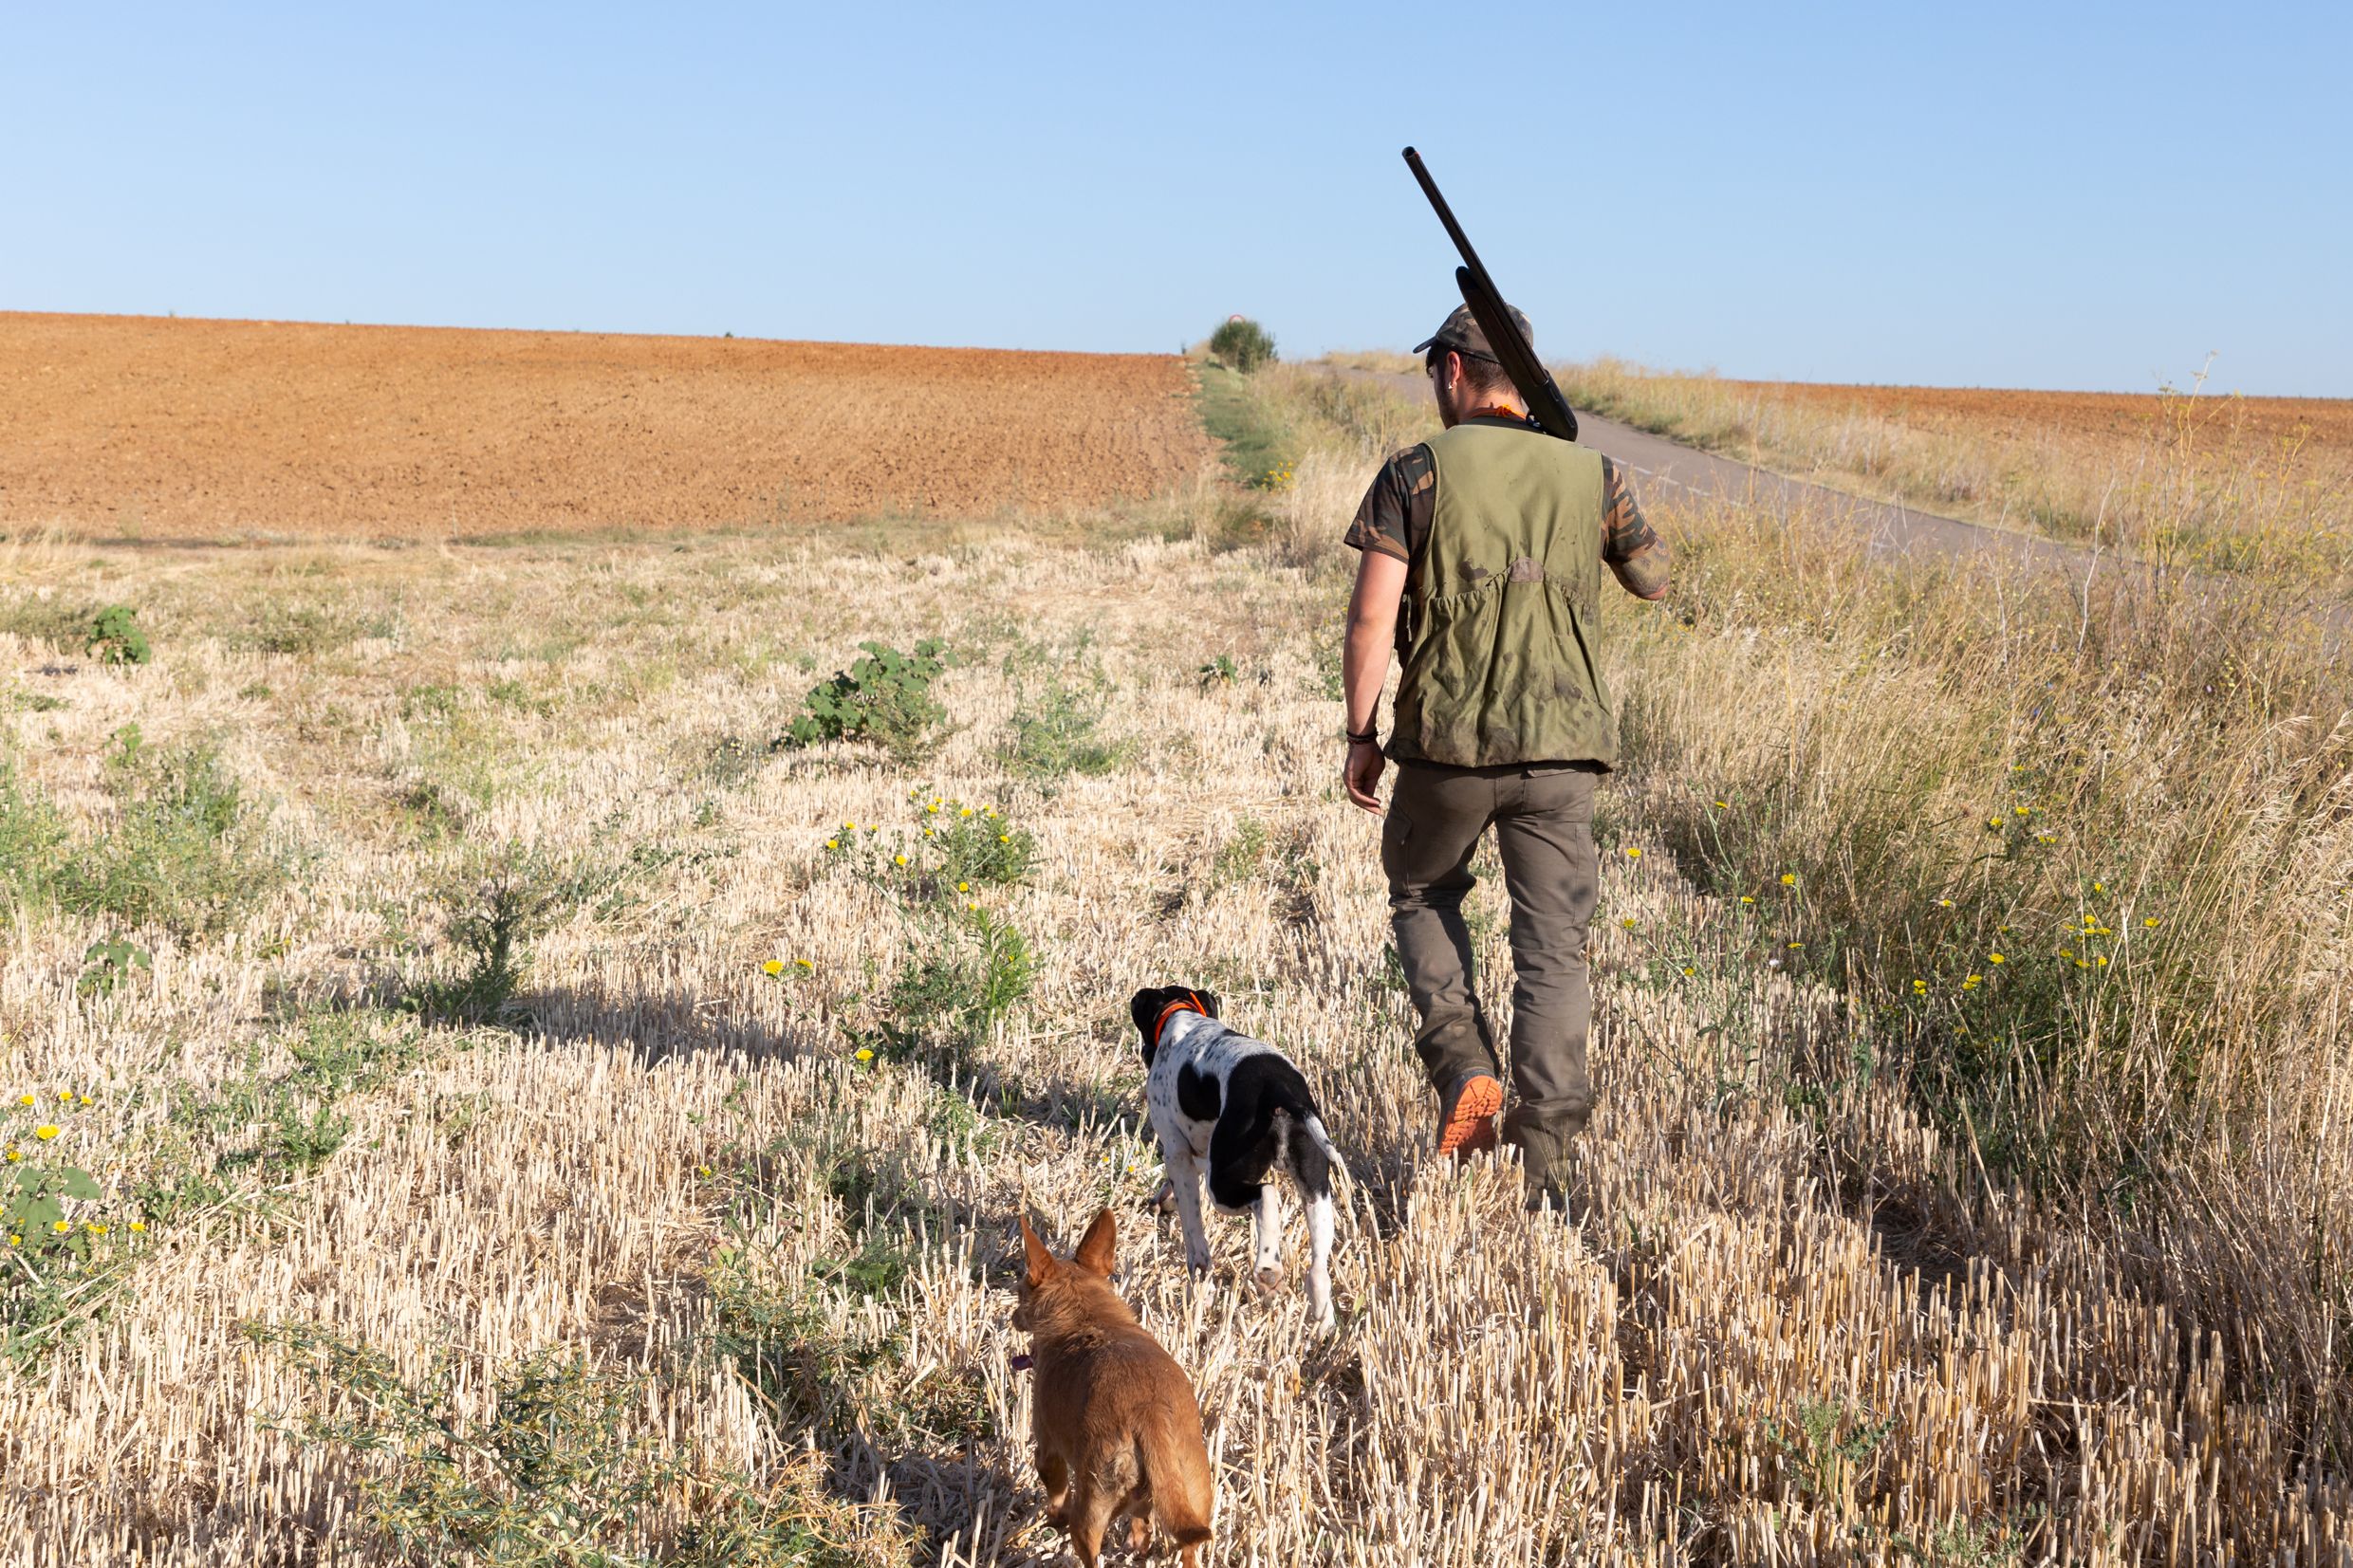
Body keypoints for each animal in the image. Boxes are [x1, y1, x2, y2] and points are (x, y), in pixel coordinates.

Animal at [1011, 1212, 1214, 1560]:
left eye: (1021, 1292)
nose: (1012, 1317)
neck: (1086, 1316)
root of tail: (1150, 1413)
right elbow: (1142, 1522)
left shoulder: (1047, 1448)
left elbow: (1055, 1492)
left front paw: (1053, 1518)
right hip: (1194, 1492)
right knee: (1182, 1544)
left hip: (1091, 1509)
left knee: (1089, 1550)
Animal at [1124, 987, 1336, 1335]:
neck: (1180, 1014)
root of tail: (1278, 1089)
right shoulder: (1199, 1151)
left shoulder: (1176, 1152)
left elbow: (1194, 1236)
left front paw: (1199, 1285)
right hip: (1316, 1187)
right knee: (1319, 1264)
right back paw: (1323, 1317)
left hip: (1221, 1185)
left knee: (1267, 1195)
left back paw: (1268, 1270)